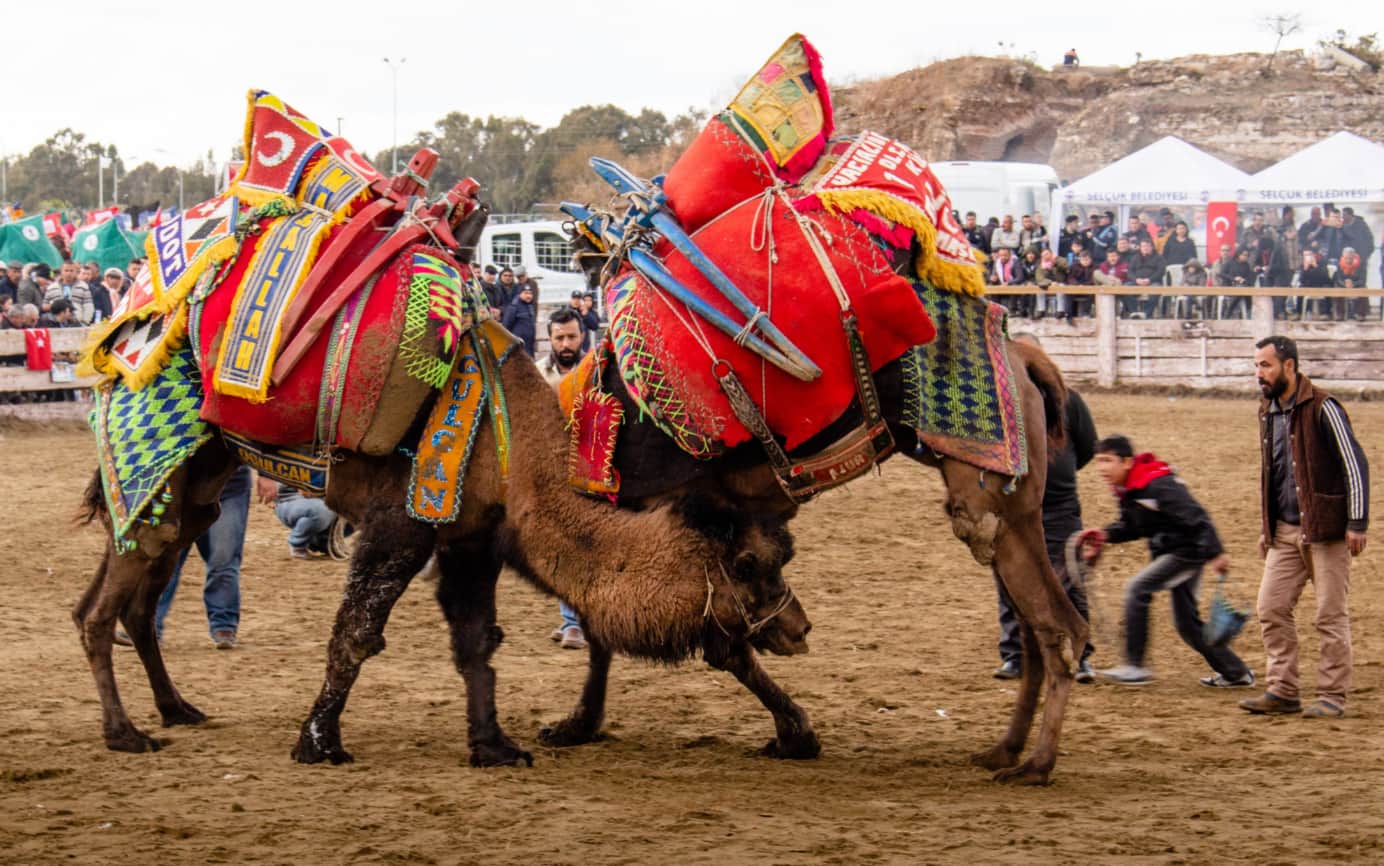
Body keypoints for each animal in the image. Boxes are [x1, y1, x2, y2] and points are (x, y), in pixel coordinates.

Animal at [546, 234, 1088, 785]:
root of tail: (1025, 357)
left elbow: (696, 640)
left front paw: (795, 732)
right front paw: (577, 724)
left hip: (997, 503)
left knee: (1060, 625)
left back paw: (1036, 764)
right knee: (1034, 627)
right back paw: (1005, 750)